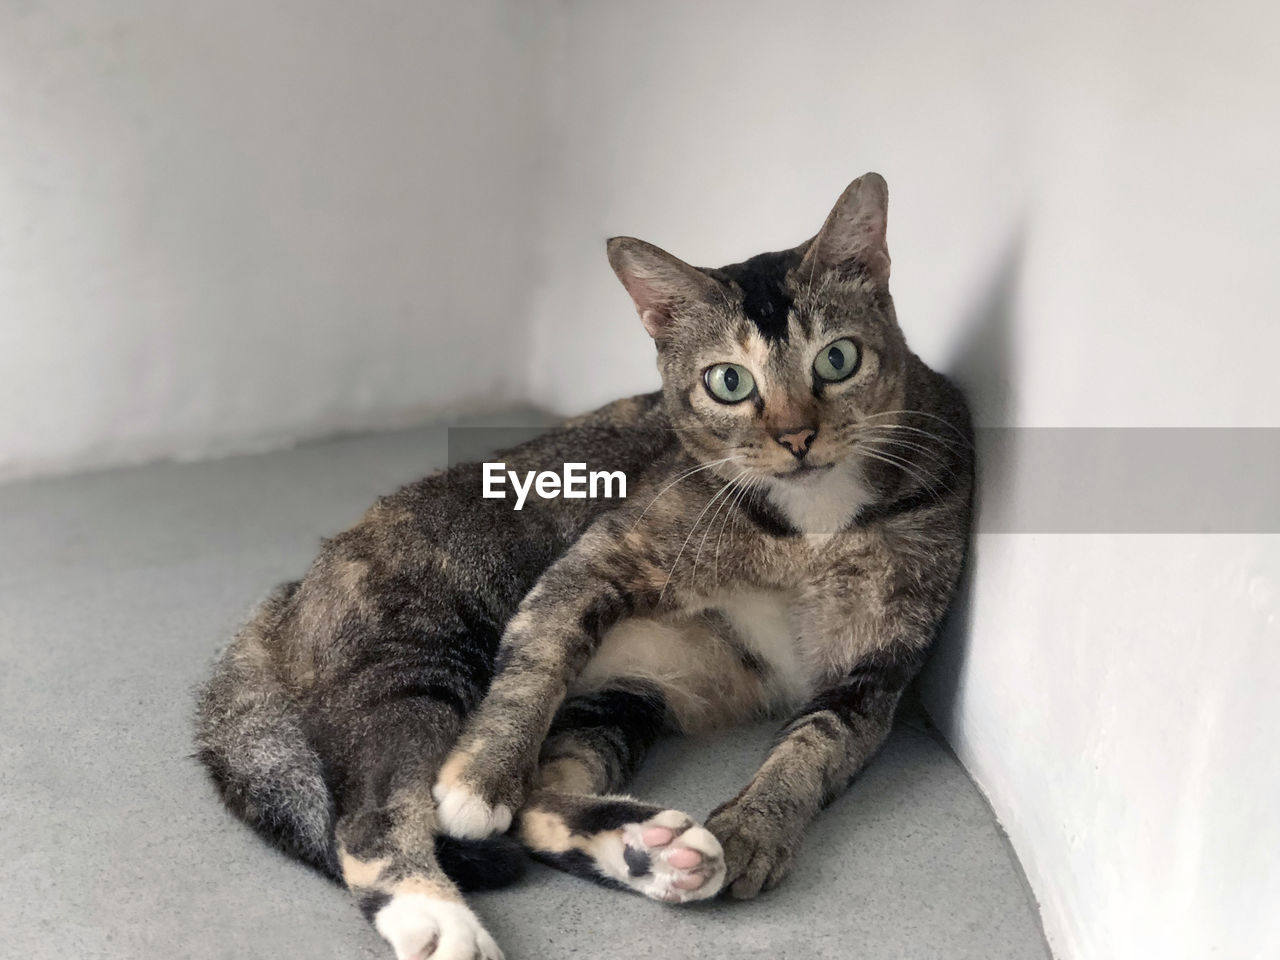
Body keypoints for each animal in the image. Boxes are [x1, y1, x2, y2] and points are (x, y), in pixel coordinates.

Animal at [194, 175, 967, 960]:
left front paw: (755, 827)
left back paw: (655, 851)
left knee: (540, 801)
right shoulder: (600, 558)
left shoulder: (875, 671)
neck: (808, 530)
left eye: (837, 360)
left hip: (627, 696)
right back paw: (442, 920)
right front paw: (479, 782)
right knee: (371, 817)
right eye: (728, 381)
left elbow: (815, 746)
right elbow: (535, 664)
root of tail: (283, 601)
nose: (796, 436)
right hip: (419, 653)